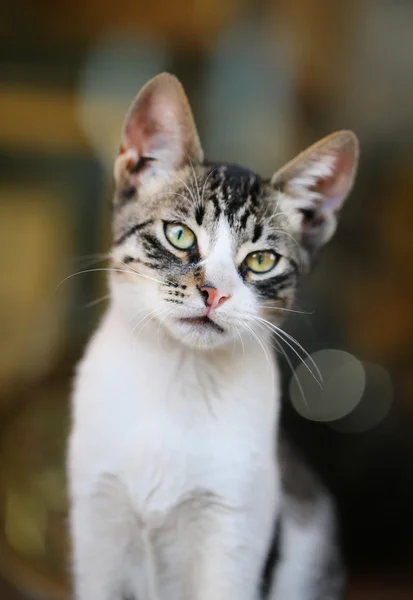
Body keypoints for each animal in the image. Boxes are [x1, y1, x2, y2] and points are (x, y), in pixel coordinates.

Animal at [67, 71, 358, 600]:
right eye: (179, 234)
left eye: (261, 260)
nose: (215, 292)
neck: (178, 376)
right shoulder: (98, 517)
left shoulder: (235, 530)